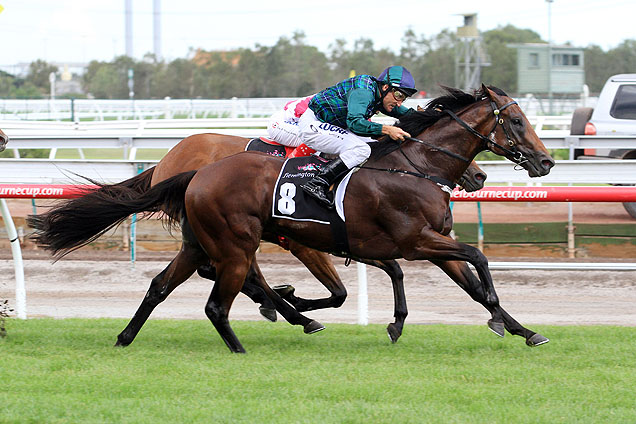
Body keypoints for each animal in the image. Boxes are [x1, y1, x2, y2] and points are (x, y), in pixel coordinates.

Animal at [29, 84, 556, 352]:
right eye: (516, 121)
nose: (546, 162)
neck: (414, 165)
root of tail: (186, 166)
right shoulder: (413, 241)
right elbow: (476, 262)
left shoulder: (427, 242)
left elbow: (468, 280)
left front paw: (523, 329)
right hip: (236, 241)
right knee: (224, 286)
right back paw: (272, 319)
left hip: (203, 240)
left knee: (164, 284)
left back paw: (126, 338)